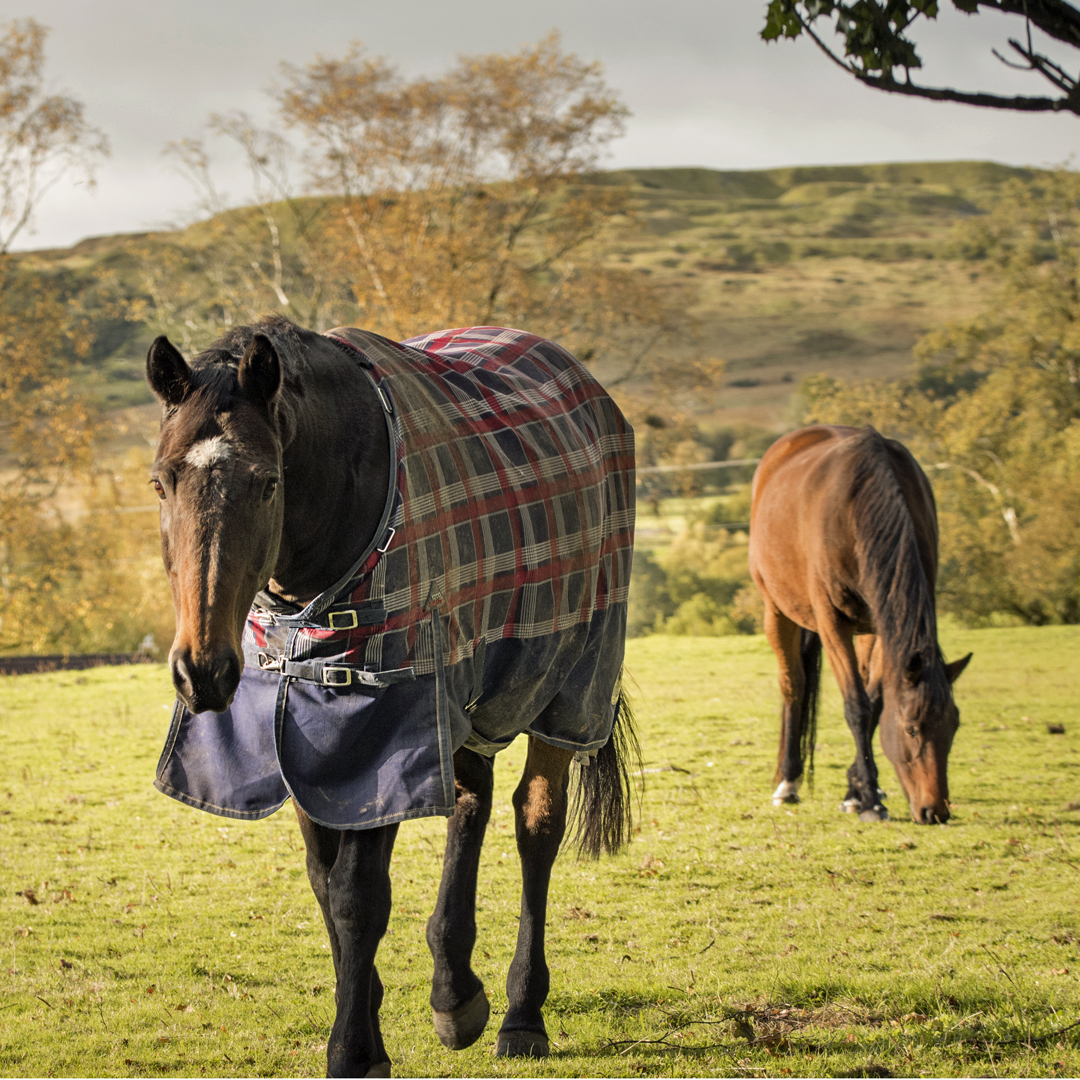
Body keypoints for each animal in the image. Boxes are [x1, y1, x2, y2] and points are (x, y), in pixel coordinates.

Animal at [144, 317, 637, 1077]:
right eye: (162, 482)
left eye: (267, 482)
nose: (204, 670)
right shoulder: (302, 733)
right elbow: (325, 883)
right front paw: (371, 1021)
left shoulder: (379, 726)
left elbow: (358, 898)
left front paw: (352, 1050)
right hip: (467, 694)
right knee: (470, 802)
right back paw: (455, 994)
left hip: (566, 684)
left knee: (536, 825)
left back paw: (521, 1015)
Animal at [748, 425, 971, 825]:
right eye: (911, 729)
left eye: (954, 725)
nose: (936, 811)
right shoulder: (831, 622)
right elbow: (857, 707)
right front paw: (869, 801)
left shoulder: (886, 625)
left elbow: (876, 703)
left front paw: (858, 791)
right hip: (776, 610)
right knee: (793, 686)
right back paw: (788, 782)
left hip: (865, 627)